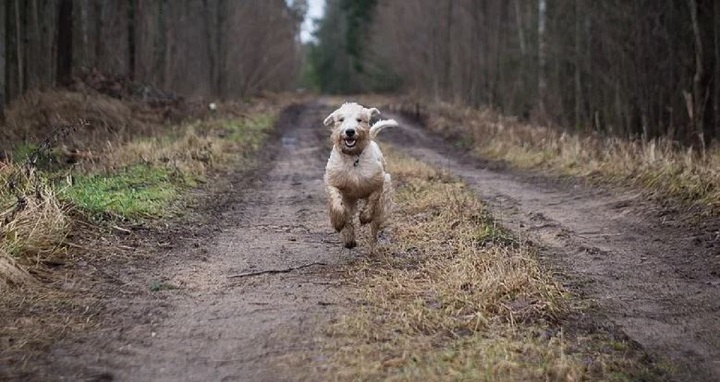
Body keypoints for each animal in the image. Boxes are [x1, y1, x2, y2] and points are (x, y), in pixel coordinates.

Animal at [322, 103, 396, 249]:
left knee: (375, 224)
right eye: (341, 119)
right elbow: (337, 205)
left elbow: (373, 199)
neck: (353, 157)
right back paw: (349, 239)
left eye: (359, 119)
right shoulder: (334, 182)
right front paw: (338, 223)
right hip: (350, 199)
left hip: (382, 205)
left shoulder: (380, 181)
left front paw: (364, 217)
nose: (350, 131)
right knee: (349, 217)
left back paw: (373, 245)